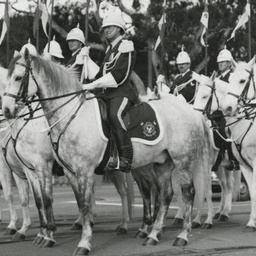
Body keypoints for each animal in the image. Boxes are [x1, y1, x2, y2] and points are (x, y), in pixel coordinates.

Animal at [2, 51, 213, 255]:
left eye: (18, 77)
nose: (7, 109)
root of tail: (193, 111)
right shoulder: (62, 171)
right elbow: (54, 201)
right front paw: (45, 234)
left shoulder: (66, 168)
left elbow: (77, 203)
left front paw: (81, 242)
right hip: (161, 162)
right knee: (164, 193)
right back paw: (152, 234)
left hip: (182, 160)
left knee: (187, 192)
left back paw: (182, 234)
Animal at [194, 75, 256, 231]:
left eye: (205, 96)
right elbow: (200, 191)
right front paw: (196, 219)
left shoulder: (206, 165)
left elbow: (206, 191)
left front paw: (207, 220)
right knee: (226, 185)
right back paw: (222, 212)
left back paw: (223, 213)